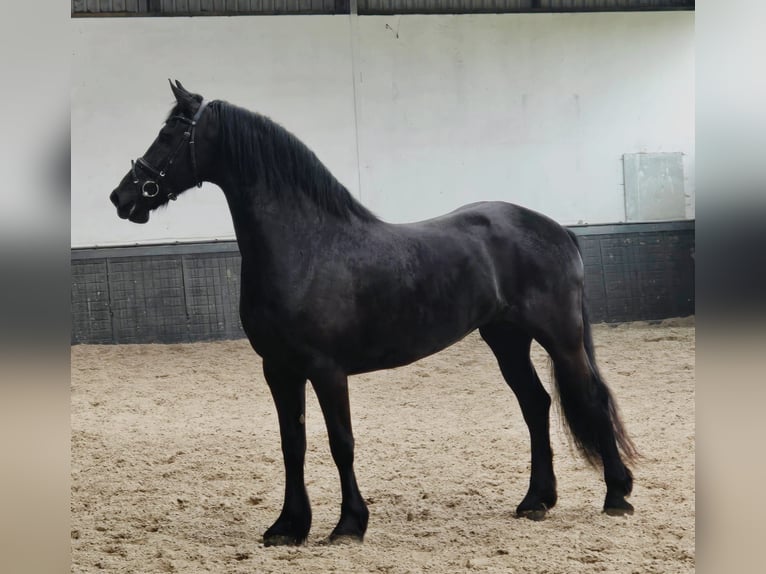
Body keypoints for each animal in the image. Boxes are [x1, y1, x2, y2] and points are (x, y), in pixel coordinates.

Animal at [109, 80, 637, 546]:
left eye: (171, 133)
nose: (122, 197)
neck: (306, 246)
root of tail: (557, 229)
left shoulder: (326, 370)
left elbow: (340, 443)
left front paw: (348, 526)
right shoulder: (278, 369)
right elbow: (292, 445)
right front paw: (288, 527)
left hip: (560, 337)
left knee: (591, 397)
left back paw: (617, 496)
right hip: (506, 339)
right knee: (535, 405)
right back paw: (536, 501)